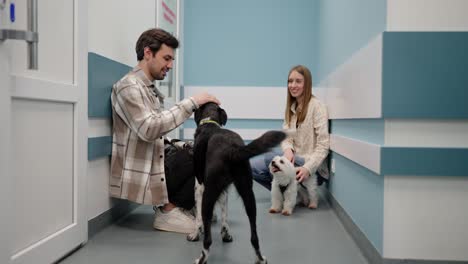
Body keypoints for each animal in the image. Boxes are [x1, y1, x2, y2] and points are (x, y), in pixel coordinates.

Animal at [187, 102, 284, 264]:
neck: (210, 122)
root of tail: (231, 149)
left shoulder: (199, 187)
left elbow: (199, 219)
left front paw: (195, 234)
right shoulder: (225, 189)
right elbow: (224, 212)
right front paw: (225, 234)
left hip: (209, 194)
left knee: (208, 239)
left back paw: (202, 258)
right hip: (248, 195)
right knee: (254, 237)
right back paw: (260, 258)